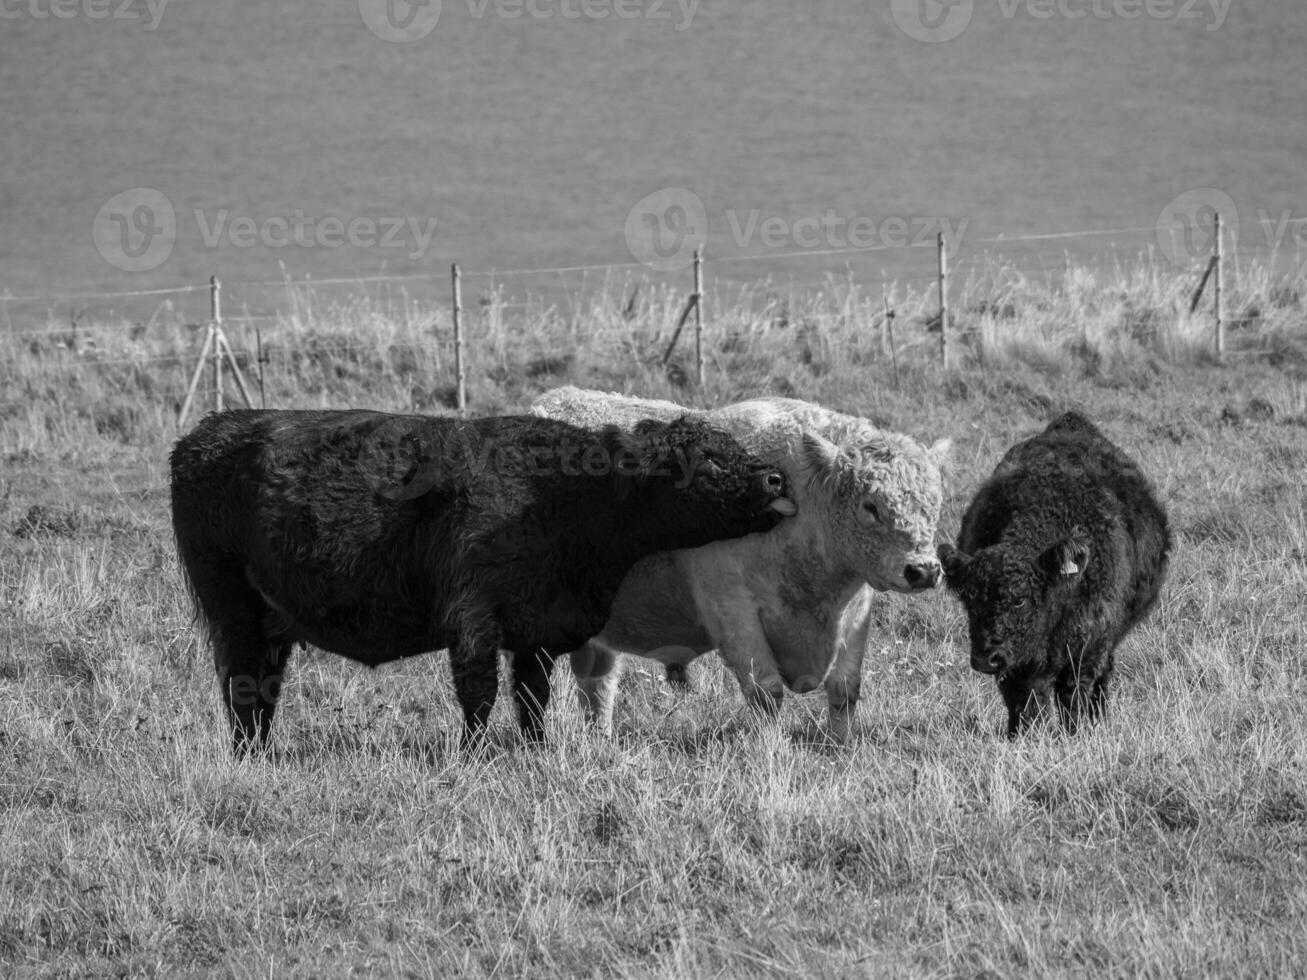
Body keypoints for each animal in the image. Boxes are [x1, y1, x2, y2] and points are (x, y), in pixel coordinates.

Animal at [168, 407, 789, 752]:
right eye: (706, 459)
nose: (776, 479)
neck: (567, 494)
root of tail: (206, 433)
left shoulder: (538, 635)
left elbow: (532, 699)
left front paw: (535, 750)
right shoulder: (474, 621)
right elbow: (480, 695)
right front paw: (472, 754)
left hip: (270, 624)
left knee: (262, 689)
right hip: (234, 614)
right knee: (244, 687)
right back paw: (248, 755)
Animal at [530, 386, 951, 742]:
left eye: (935, 501)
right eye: (870, 505)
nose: (923, 570)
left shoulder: (855, 613)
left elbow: (844, 688)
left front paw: (840, 745)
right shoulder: (732, 610)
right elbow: (765, 692)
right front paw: (773, 748)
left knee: (597, 681)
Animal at [941, 415, 1176, 736]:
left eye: (1020, 601)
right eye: (969, 601)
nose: (984, 659)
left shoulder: (1087, 645)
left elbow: (1073, 693)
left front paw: (1074, 734)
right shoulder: (1018, 662)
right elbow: (1024, 700)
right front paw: (1020, 736)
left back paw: (1099, 718)